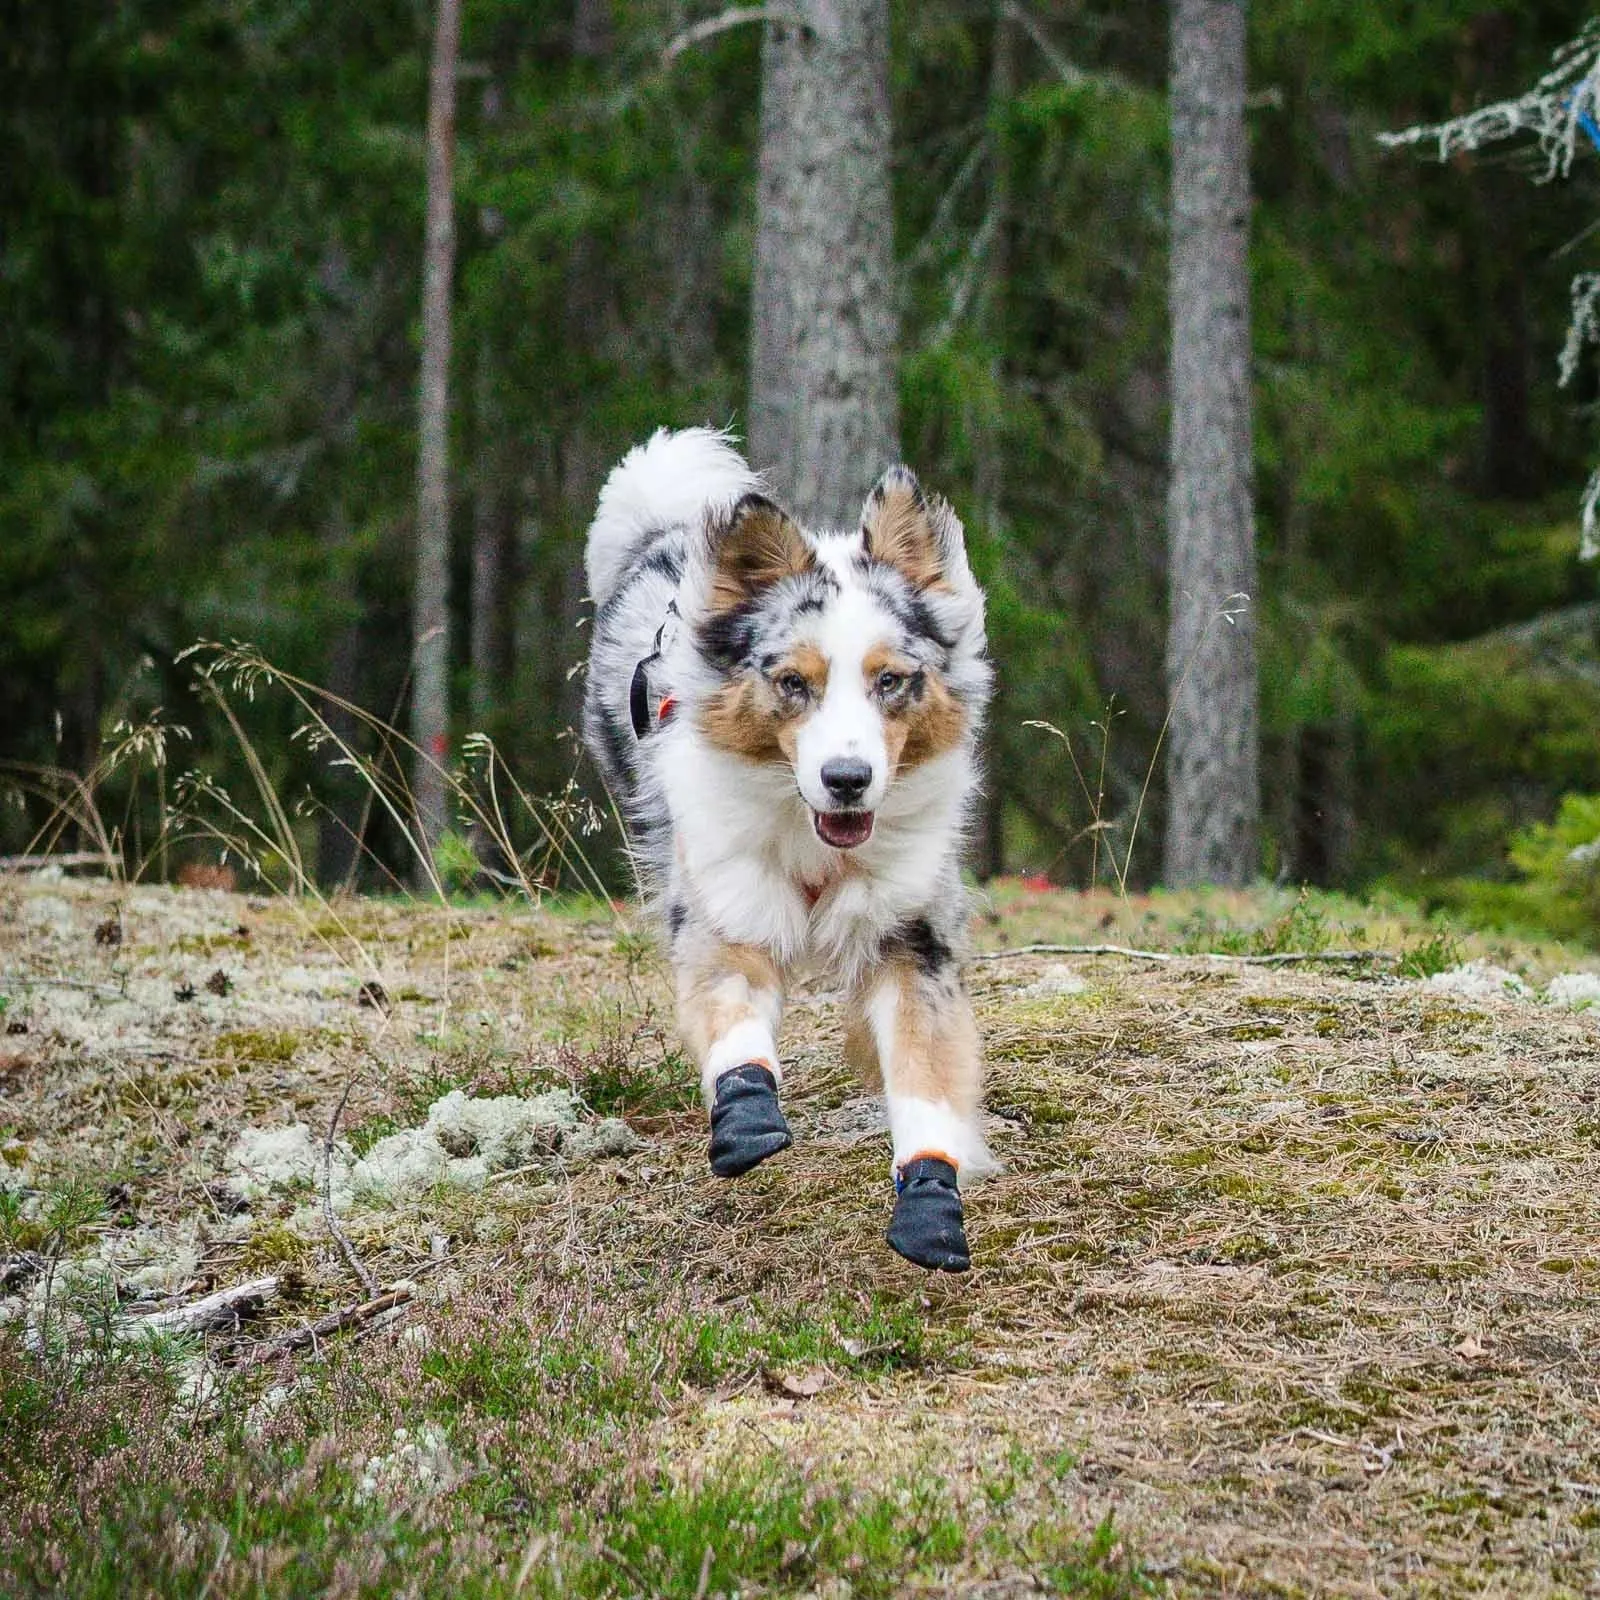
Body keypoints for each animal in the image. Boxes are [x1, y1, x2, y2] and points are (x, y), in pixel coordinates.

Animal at [582, 428, 992, 1273]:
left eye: (890, 681)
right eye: (794, 683)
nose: (847, 779)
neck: (815, 845)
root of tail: (663, 530)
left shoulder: (914, 936)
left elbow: (924, 1074)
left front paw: (931, 1204)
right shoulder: (722, 905)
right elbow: (734, 1019)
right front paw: (745, 1116)